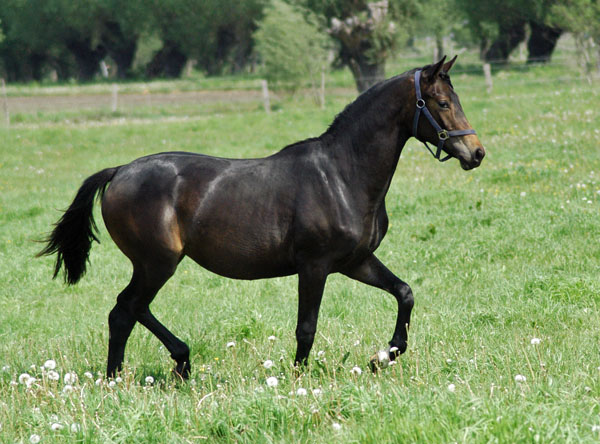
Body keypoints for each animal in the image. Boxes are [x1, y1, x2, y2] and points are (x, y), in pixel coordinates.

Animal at [37, 53, 486, 376]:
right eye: (441, 103)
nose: (476, 153)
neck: (342, 174)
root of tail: (119, 172)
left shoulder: (355, 260)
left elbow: (404, 293)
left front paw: (383, 356)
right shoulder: (315, 265)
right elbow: (307, 327)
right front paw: (298, 378)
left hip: (154, 264)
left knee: (133, 310)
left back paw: (176, 362)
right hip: (156, 262)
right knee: (124, 311)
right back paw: (127, 375)